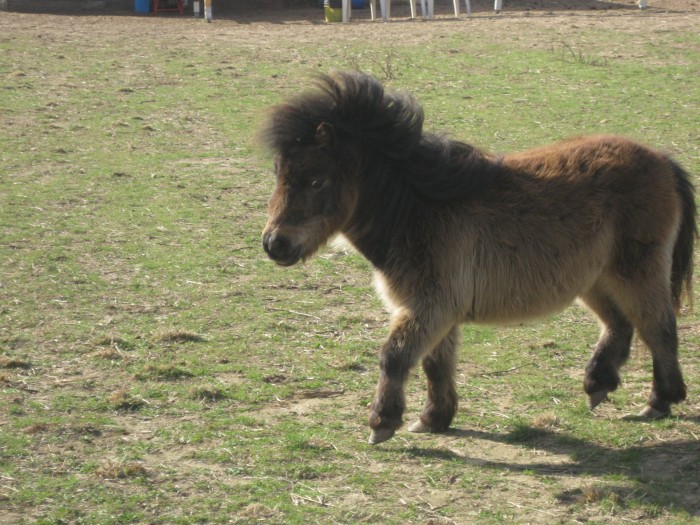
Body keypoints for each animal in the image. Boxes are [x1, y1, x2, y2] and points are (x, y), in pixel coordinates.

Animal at [260, 71, 696, 444]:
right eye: (278, 174)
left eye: (316, 180)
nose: (274, 244)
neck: (419, 210)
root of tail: (661, 159)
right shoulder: (439, 312)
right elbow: (435, 363)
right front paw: (433, 418)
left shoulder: (430, 305)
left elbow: (394, 357)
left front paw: (383, 422)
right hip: (594, 278)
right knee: (620, 325)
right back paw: (598, 385)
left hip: (635, 272)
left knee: (658, 328)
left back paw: (659, 401)